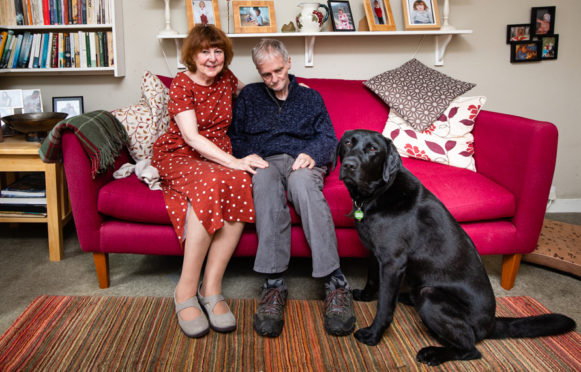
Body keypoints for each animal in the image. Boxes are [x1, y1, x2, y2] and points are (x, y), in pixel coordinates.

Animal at [334, 129, 572, 364]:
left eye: (372, 149)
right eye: (348, 143)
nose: (349, 165)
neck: (379, 193)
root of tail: (492, 323)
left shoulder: (393, 263)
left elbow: (384, 305)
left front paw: (373, 335)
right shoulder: (375, 254)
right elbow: (372, 279)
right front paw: (366, 296)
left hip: (431, 296)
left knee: (471, 349)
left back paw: (433, 353)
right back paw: (408, 298)